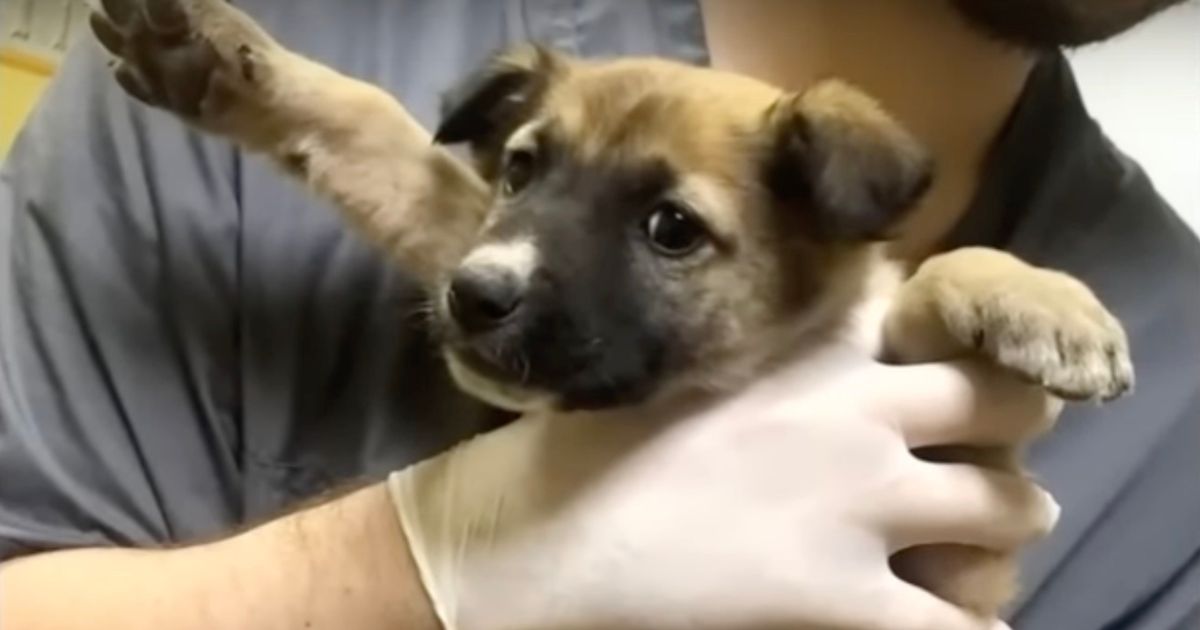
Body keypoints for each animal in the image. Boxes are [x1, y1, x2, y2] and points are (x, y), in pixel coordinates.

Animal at [91, 0, 1132, 614]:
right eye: (520, 171)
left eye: (671, 228)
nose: (471, 296)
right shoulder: (468, 224)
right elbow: (385, 140)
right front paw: (227, 62)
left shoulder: (945, 555)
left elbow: (925, 290)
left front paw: (1042, 302)